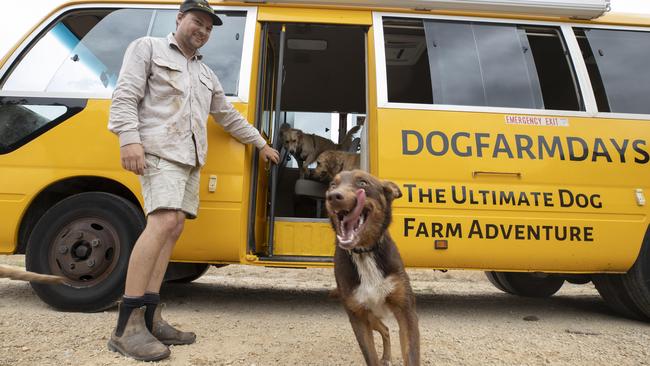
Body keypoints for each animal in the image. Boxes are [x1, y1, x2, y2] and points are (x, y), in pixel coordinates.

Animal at [324, 171, 420, 366]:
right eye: (332, 185)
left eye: (363, 182)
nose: (333, 196)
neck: (364, 253)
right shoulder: (358, 317)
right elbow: (371, 357)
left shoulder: (407, 312)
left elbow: (412, 355)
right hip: (371, 317)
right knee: (385, 329)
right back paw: (386, 357)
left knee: (385, 329)